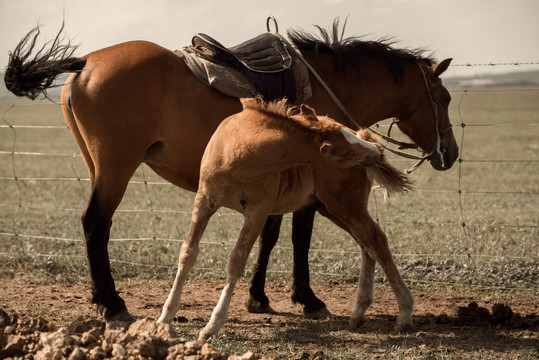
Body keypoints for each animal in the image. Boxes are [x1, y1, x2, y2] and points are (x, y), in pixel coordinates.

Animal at [5, 19, 460, 324]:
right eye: (444, 97)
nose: (450, 153)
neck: (327, 83)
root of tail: (85, 62)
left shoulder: (279, 187)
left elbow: (270, 236)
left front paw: (259, 297)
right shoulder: (309, 183)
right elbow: (298, 238)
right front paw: (306, 298)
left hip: (96, 165)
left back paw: (103, 299)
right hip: (116, 168)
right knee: (95, 224)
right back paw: (112, 303)